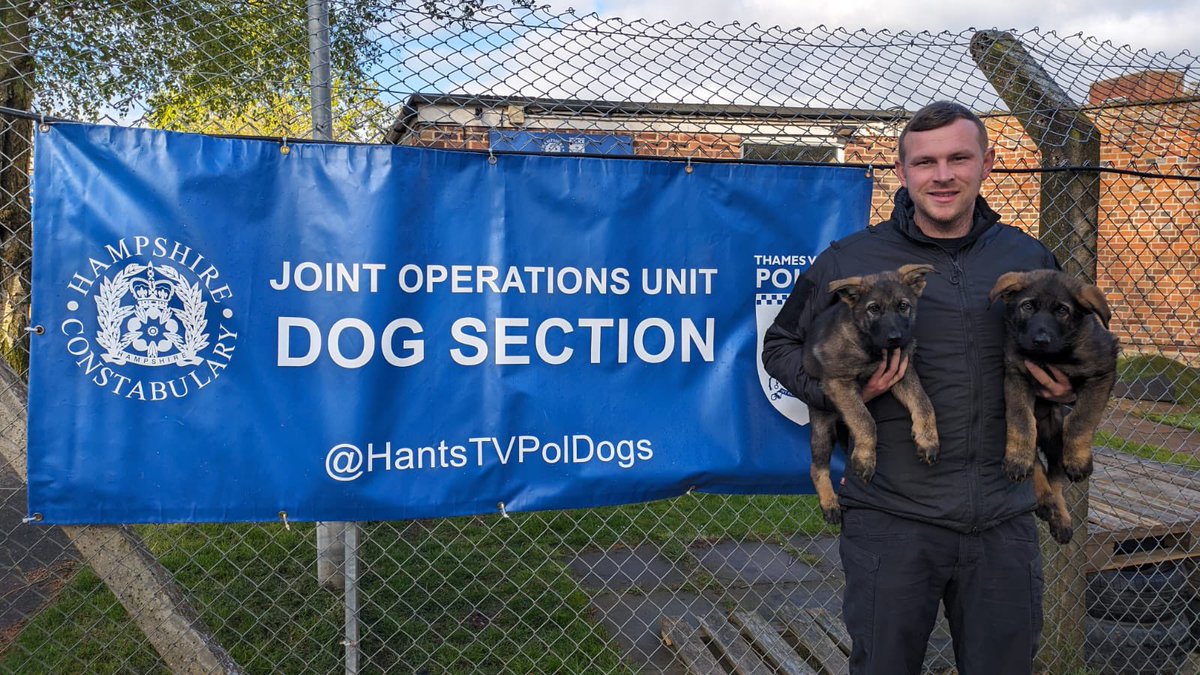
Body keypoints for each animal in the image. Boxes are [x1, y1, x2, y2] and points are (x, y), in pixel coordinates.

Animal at [806, 265, 936, 523]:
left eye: (903, 306)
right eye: (873, 309)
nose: (896, 338)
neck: (872, 347)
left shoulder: (902, 370)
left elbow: (923, 402)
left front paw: (928, 439)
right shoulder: (839, 382)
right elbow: (865, 420)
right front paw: (866, 458)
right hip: (823, 427)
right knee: (817, 467)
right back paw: (830, 503)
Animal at [988, 267, 1118, 540]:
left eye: (1062, 310)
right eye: (1027, 306)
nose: (1041, 340)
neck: (1052, 357)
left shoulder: (1101, 373)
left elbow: (1081, 419)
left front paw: (1079, 460)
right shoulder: (1016, 375)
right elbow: (1021, 420)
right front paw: (1017, 458)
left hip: (1055, 434)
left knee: (1056, 476)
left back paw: (1059, 516)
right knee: (1039, 467)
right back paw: (1045, 500)